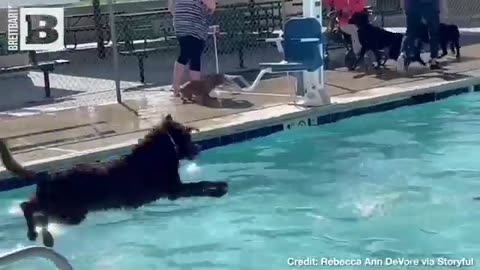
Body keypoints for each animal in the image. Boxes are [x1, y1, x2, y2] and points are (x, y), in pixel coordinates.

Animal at [0, 115, 229, 248]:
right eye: (188, 137)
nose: (198, 148)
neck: (160, 151)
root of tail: (47, 175)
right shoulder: (174, 190)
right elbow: (200, 185)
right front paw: (219, 188)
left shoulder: (174, 190)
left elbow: (200, 184)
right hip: (69, 210)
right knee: (32, 209)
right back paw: (37, 232)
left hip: (67, 210)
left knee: (33, 208)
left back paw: (38, 234)